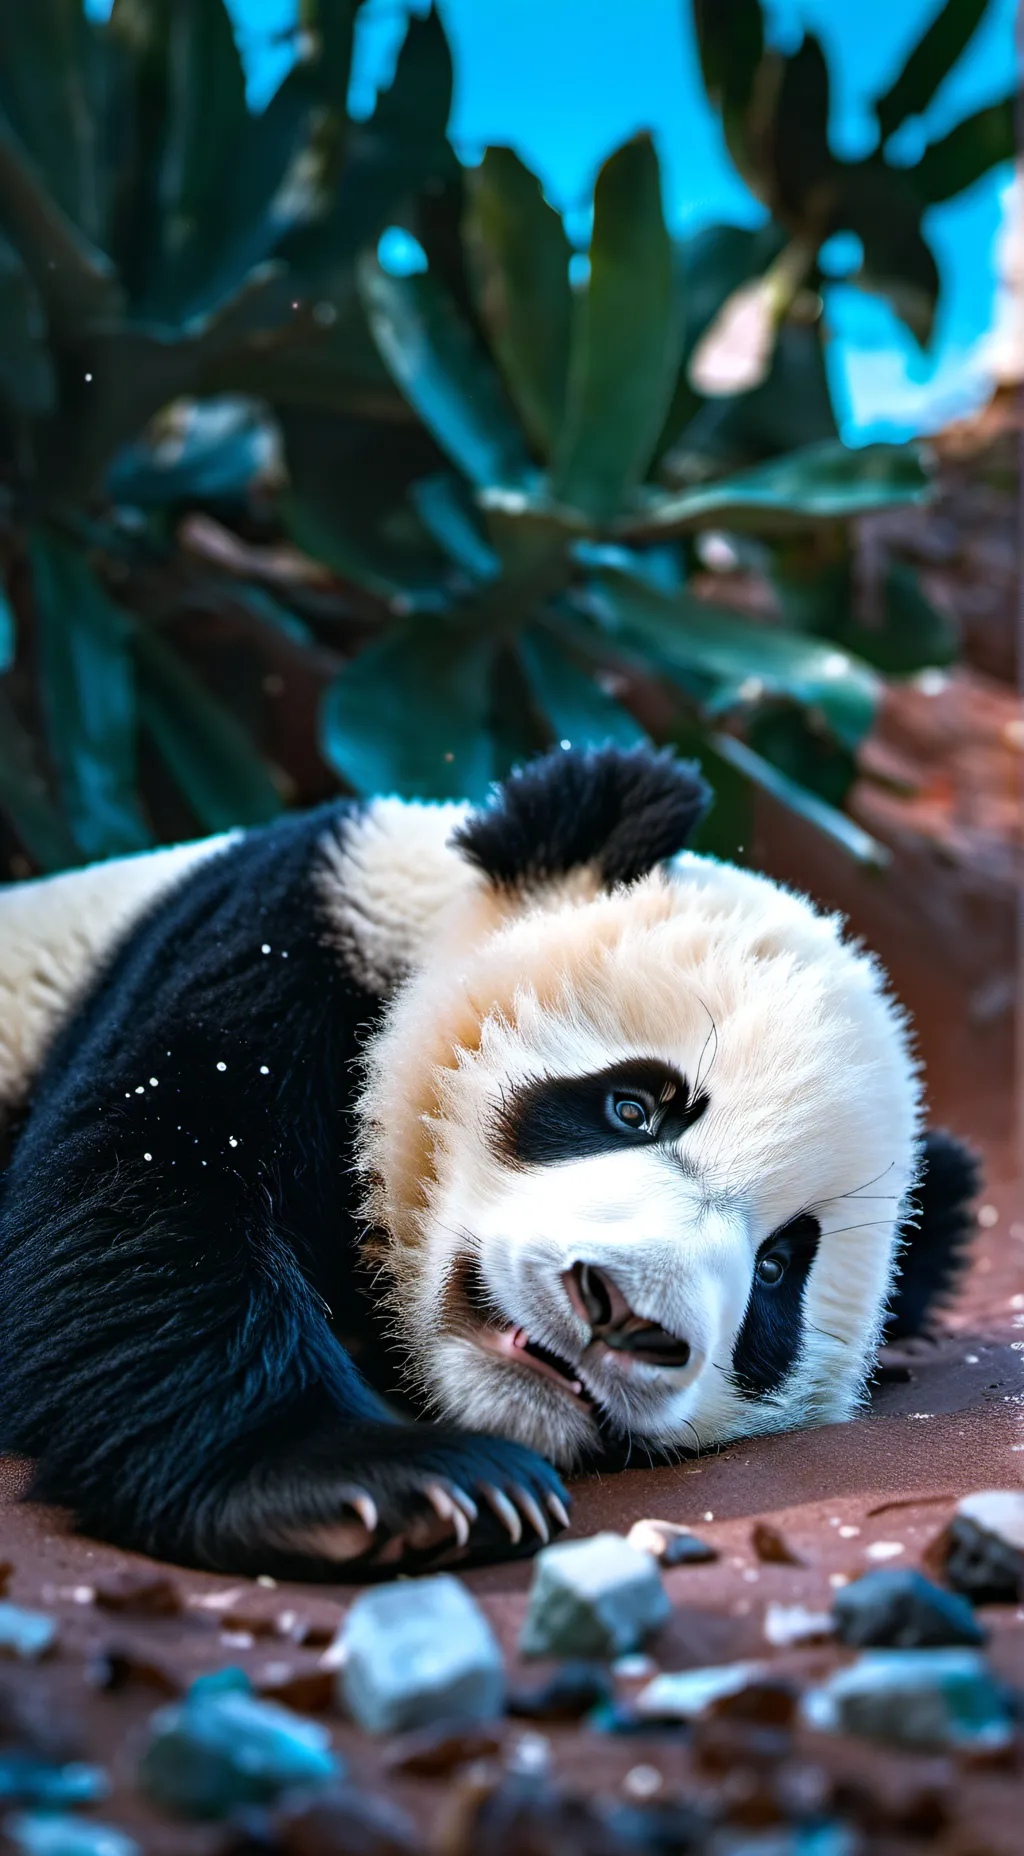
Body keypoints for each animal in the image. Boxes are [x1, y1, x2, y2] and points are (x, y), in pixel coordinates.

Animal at [0, 744, 977, 1579]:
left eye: (777, 1269)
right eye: (632, 1107)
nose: (624, 1315)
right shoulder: (268, 946)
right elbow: (136, 1199)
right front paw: (383, 1482)